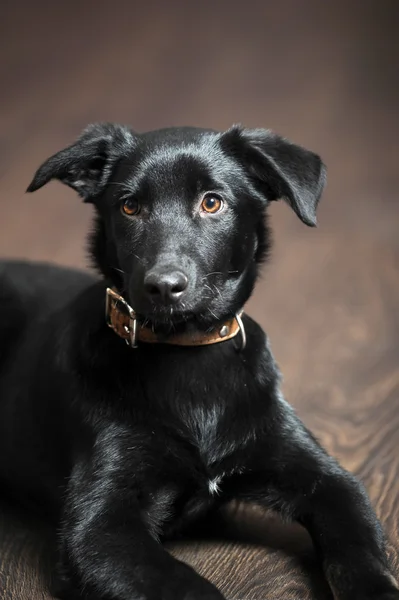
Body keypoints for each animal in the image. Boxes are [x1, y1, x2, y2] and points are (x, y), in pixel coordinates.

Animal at [0, 123, 398, 600]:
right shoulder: (99, 528)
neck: (187, 352)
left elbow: (357, 546)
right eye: (129, 206)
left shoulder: (325, 478)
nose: (163, 286)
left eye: (212, 202)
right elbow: (189, 587)